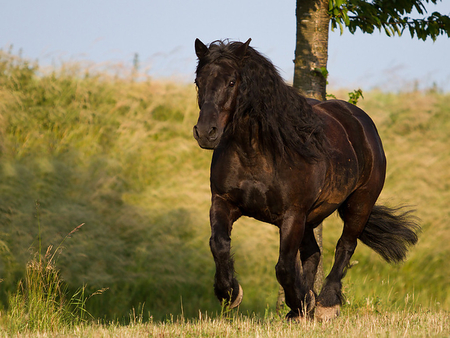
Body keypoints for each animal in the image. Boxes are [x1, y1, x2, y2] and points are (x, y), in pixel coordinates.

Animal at [192, 38, 420, 320]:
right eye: (198, 81)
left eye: (232, 81)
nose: (206, 132)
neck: (259, 152)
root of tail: (361, 121)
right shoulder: (223, 202)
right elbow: (219, 245)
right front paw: (230, 293)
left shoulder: (293, 215)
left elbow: (284, 266)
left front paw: (300, 301)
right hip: (312, 217)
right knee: (313, 253)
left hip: (359, 203)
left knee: (345, 246)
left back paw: (326, 302)